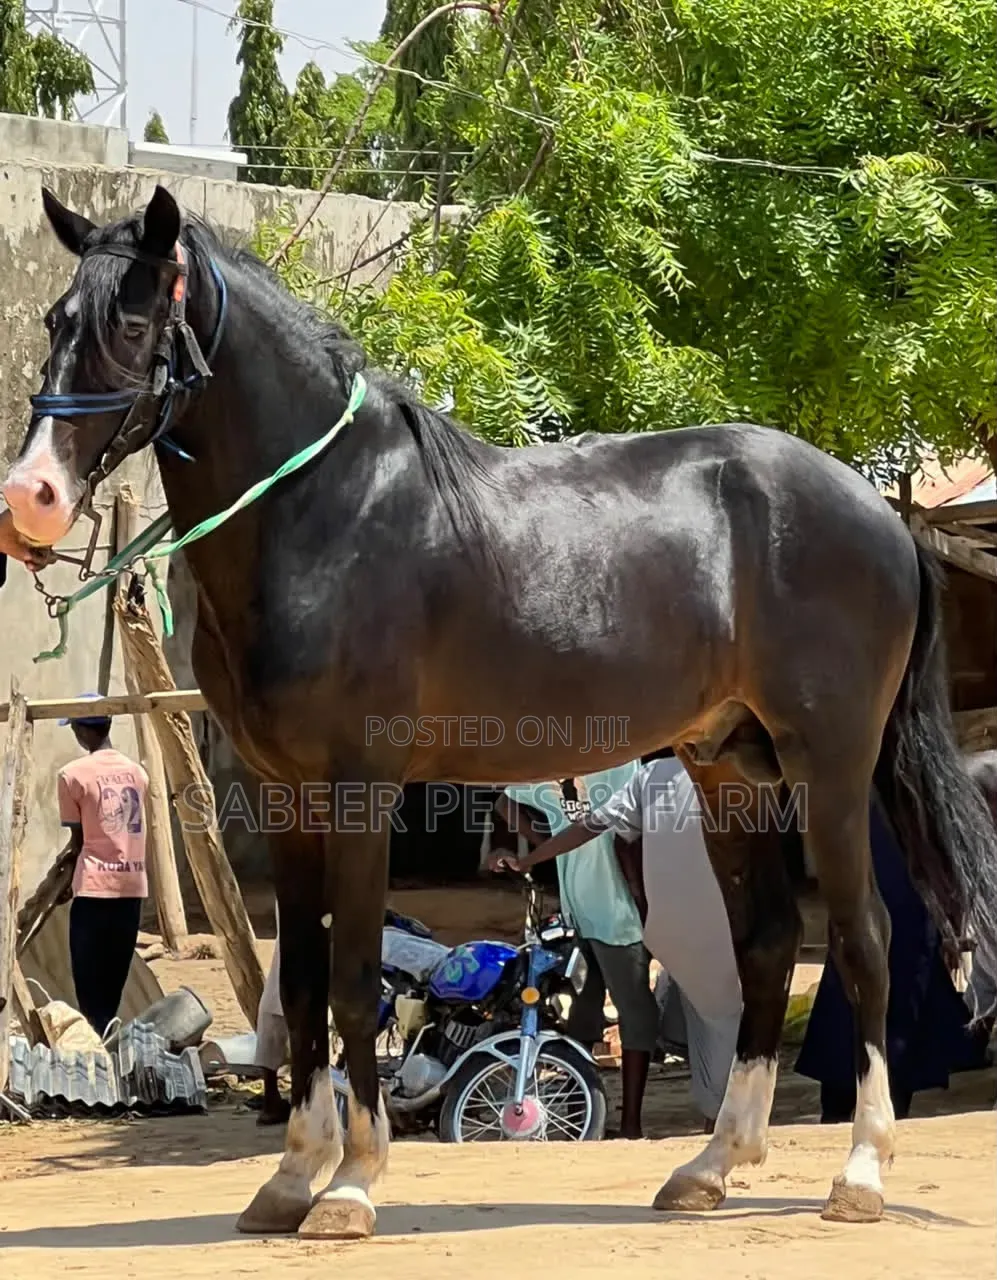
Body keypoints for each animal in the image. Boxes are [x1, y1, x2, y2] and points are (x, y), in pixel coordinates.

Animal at [5, 184, 995, 1238]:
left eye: (133, 323)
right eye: (56, 321)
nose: (32, 496)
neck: (328, 509)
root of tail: (877, 513)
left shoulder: (361, 790)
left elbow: (351, 984)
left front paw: (351, 1185)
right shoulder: (286, 797)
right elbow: (303, 982)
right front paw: (289, 1179)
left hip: (831, 766)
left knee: (864, 941)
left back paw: (860, 1173)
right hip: (727, 768)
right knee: (766, 945)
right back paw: (711, 1165)